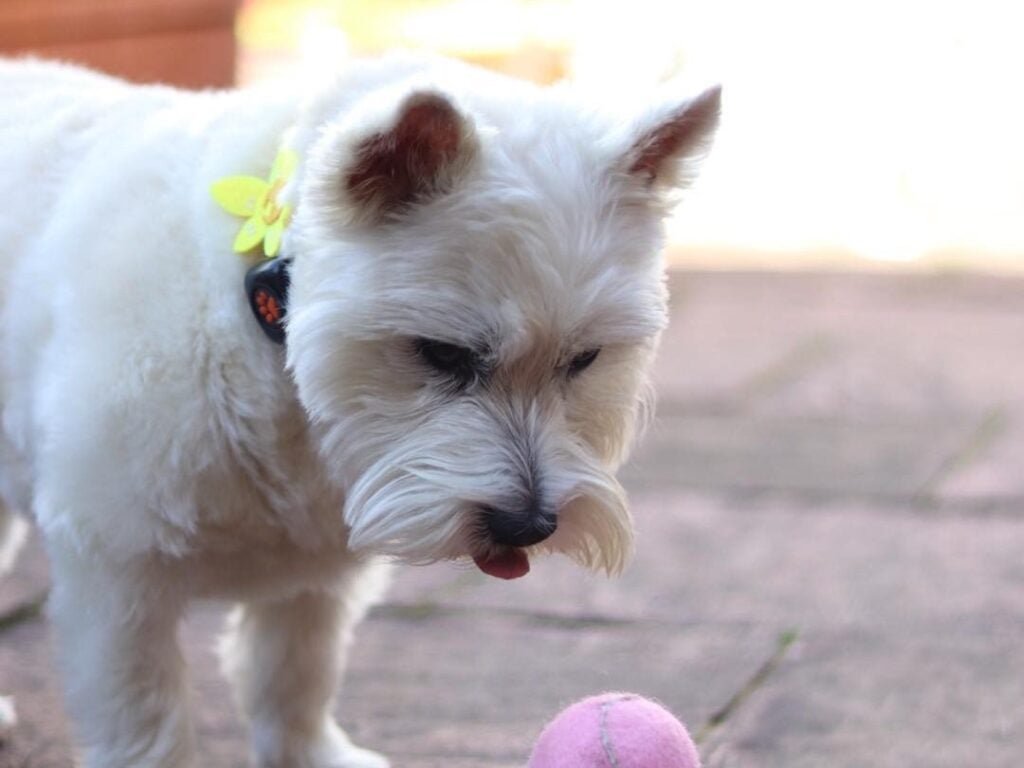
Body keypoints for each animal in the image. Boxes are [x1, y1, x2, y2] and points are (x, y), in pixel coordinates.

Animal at [0, 55, 720, 768]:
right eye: (441, 353)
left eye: (585, 358)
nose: (527, 526)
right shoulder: (115, 569)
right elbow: (144, 714)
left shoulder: (312, 577)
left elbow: (296, 673)